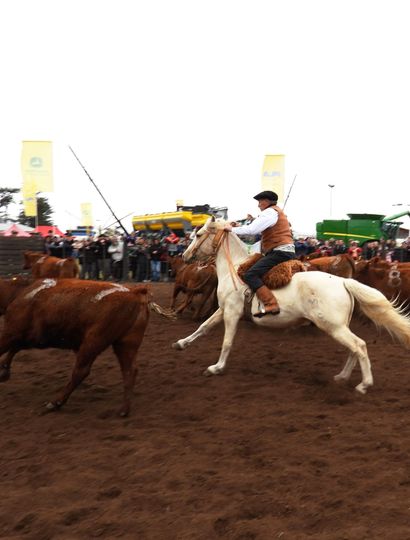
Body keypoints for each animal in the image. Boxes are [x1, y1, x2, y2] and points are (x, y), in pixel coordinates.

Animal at [0, 276, 173, 416]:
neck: (20, 293)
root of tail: (134, 292)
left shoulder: (11, 332)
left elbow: (8, 347)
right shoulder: (32, 337)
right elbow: (15, 349)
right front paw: (4, 371)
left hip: (93, 341)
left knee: (81, 371)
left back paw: (56, 402)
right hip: (126, 343)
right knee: (129, 371)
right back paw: (124, 409)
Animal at [172, 217, 410, 394]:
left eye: (199, 235)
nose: (185, 255)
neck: (235, 269)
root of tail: (343, 282)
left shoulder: (231, 313)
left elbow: (227, 342)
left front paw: (216, 367)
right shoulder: (223, 310)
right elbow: (203, 327)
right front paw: (181, 343)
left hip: (333, 326)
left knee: (359, 346)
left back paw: (364, 385)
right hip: (338, 327)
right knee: (355, 348)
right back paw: (342, 377)